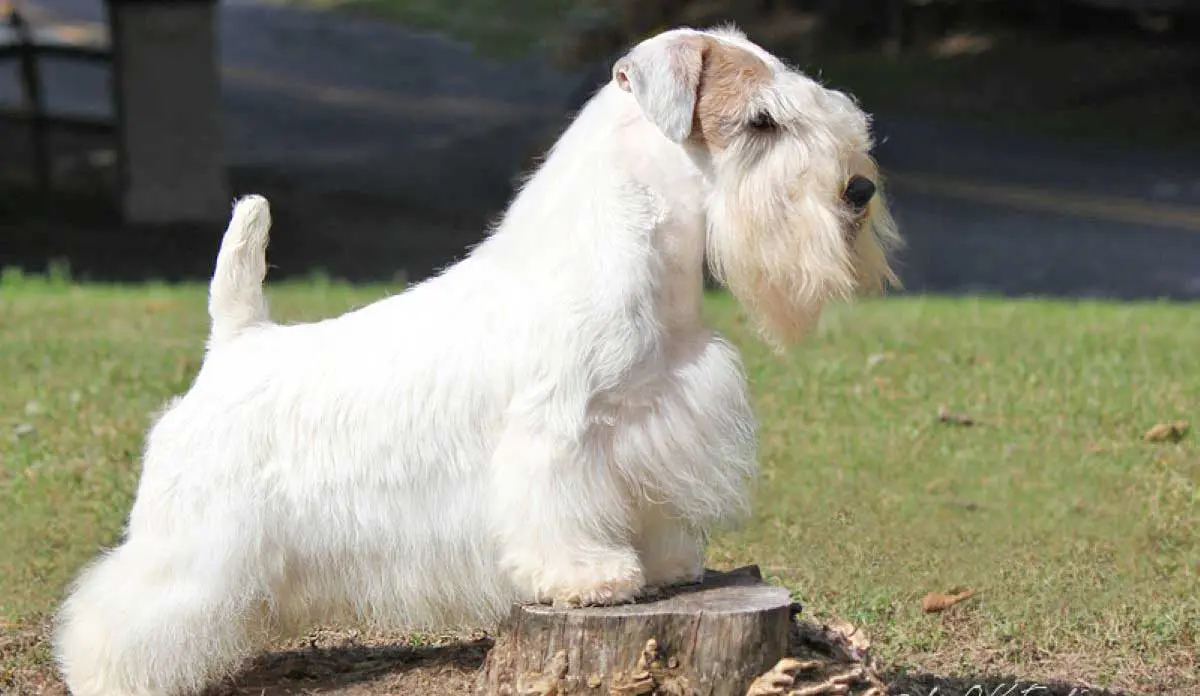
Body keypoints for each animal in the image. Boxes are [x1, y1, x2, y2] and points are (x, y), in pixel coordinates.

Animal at [56, 24, 902, 691]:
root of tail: (234, 342)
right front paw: (589, 578)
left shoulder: (650, 420)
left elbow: (648, 507)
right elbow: (556, 512)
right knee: (115, 610)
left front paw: (663, 566)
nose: (858, 189)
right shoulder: (557, 432)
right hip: (189, 541)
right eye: (760, 122)